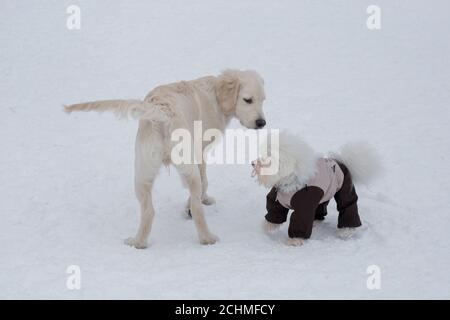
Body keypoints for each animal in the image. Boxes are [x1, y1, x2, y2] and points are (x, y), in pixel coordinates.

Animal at [65, 69, 266, 248]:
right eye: (248, 100)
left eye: (263, 100)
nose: (262, 123)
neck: (215, 95)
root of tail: (162, 112)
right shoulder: (199, 151)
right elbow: (204, 182)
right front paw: (201, 201)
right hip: (186, 165)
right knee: (196, 207)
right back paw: (207, 238)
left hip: (142, 170)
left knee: (148, 211)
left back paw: (138, 242)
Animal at [251, 131, 382, 246]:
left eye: (268, 159)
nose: (253, 163)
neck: (291, 180)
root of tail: (342, 162)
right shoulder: (277, 201)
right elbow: (274, 212)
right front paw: (266, 227)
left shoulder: (304, 204)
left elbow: (300, 220)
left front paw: (295, 240)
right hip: (324, 194)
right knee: (321, 207)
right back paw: (316, 221)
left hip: (345, 189)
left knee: (348, 206)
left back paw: (346, 230)